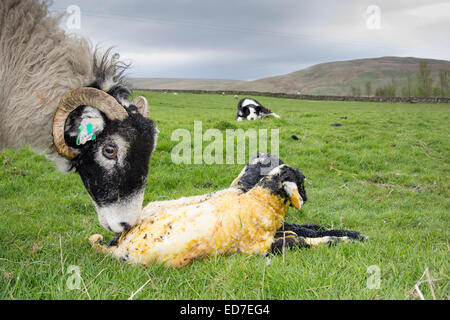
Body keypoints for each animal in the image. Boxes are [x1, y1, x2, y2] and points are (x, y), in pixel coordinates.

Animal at [89, 154, 366, 268]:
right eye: (302, 179)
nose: (306, 198)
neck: (252, 196)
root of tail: (119, 246)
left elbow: (304, 231)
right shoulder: (262, 245)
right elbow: (303, 238)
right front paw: (349, 238)